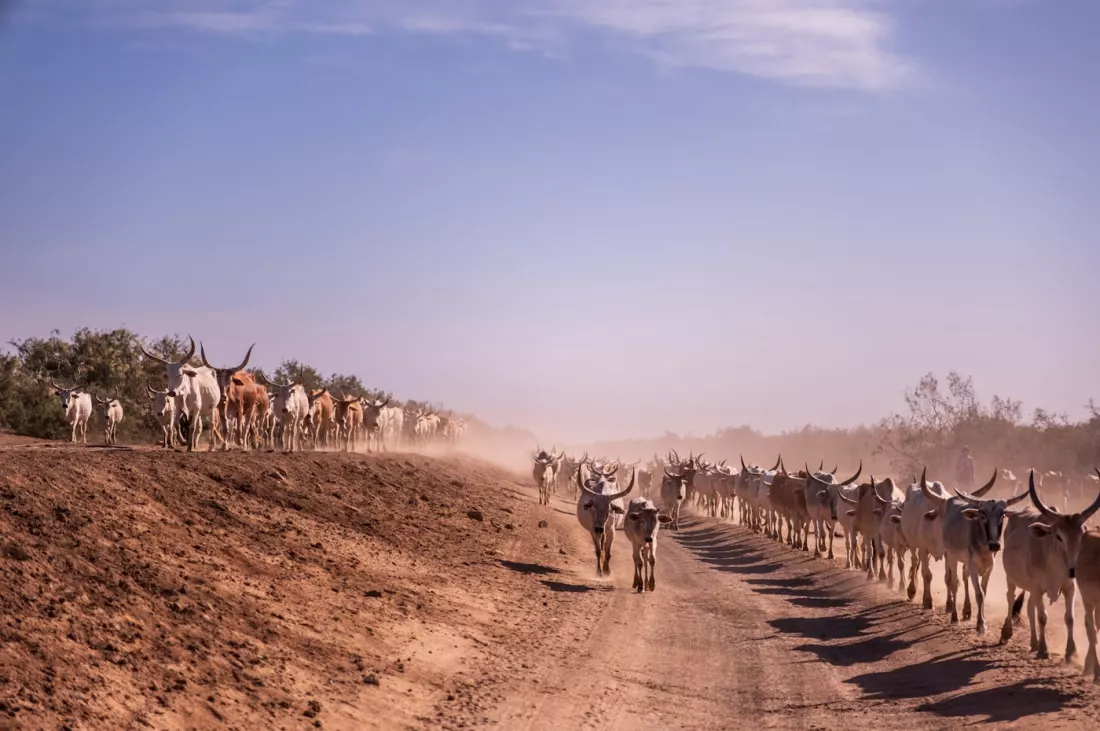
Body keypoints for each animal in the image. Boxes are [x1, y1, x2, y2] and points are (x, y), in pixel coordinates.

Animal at [1000, 470, 1100, 660]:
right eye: (1059, 536)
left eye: (1082, 535)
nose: (1073, 570)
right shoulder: (1037, 587)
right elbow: (1042, 617)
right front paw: (1043, 649)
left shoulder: (1070, 587)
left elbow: (1069, 618)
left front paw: (1071, 651)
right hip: (1011, 578)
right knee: (1010, 598)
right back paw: (1007, 632)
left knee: (1029, 607)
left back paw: (1033, 642)